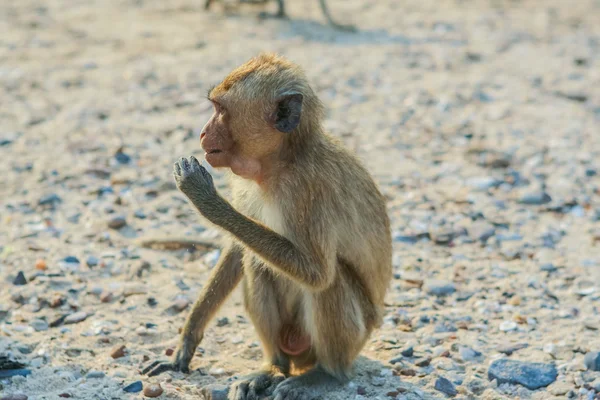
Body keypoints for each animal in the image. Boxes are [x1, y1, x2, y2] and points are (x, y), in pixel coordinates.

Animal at [143, 54, 392, 400]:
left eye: (221, 110)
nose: (203, 133)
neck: (279, 164)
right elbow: (237, 252)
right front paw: (187, 341)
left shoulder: (308, 189)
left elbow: (317, 274)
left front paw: (207, 202)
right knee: (256, 264)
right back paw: (274, 368)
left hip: (353, 338)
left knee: (329, 283)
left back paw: (326, 375)